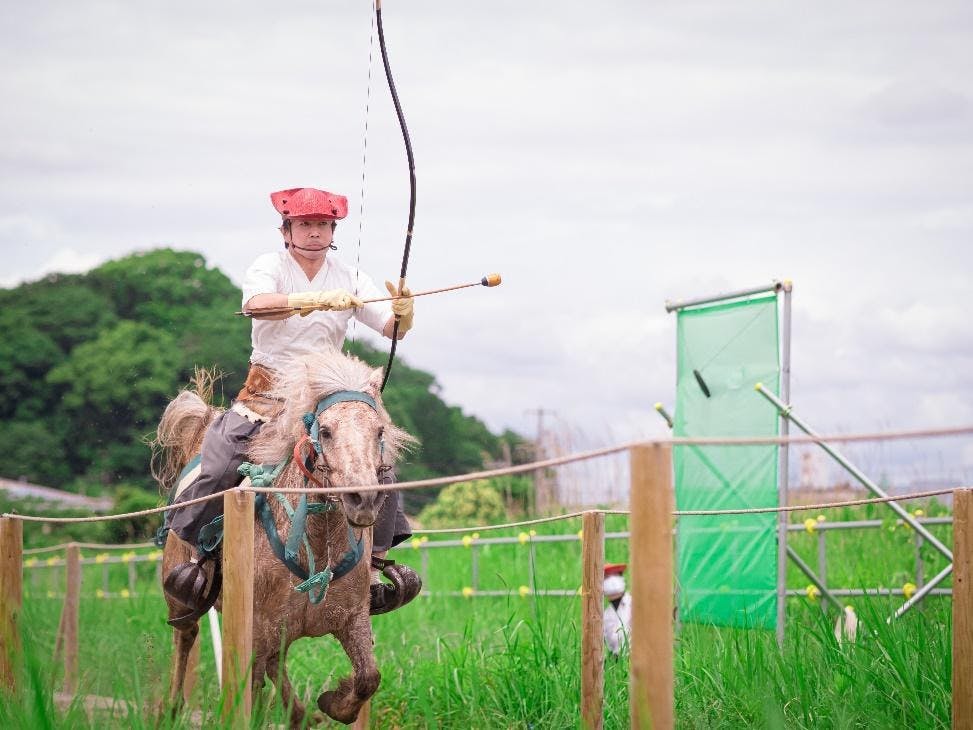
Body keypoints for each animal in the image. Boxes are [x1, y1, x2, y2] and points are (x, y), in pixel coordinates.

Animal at [151, 352, 414, 724]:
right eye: (326, 431)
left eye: (379, 431)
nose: (363, 498)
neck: (316, 549)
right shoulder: (256, 632)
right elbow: (252, 691)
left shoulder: (353, 621)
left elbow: (368, 678)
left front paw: (332, 702)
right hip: (182, 599)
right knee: (185, 636)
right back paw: (171, 708)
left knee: (277, 663)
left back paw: (301, 714)